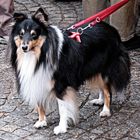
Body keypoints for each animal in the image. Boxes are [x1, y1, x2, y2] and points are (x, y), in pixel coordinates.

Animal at [9, 7, 130, 135]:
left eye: (34, 35)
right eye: (21, 34)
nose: (24, 47)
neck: (40, 54)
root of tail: (112, 29)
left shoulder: (60, 85)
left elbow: (62, 109)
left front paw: (61, 128)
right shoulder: (37, 78)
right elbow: (40, 104)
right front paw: (41, 121)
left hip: (104, 69)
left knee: (107, 90)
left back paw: (106, 110)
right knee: (102, 88)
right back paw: (100, 101)